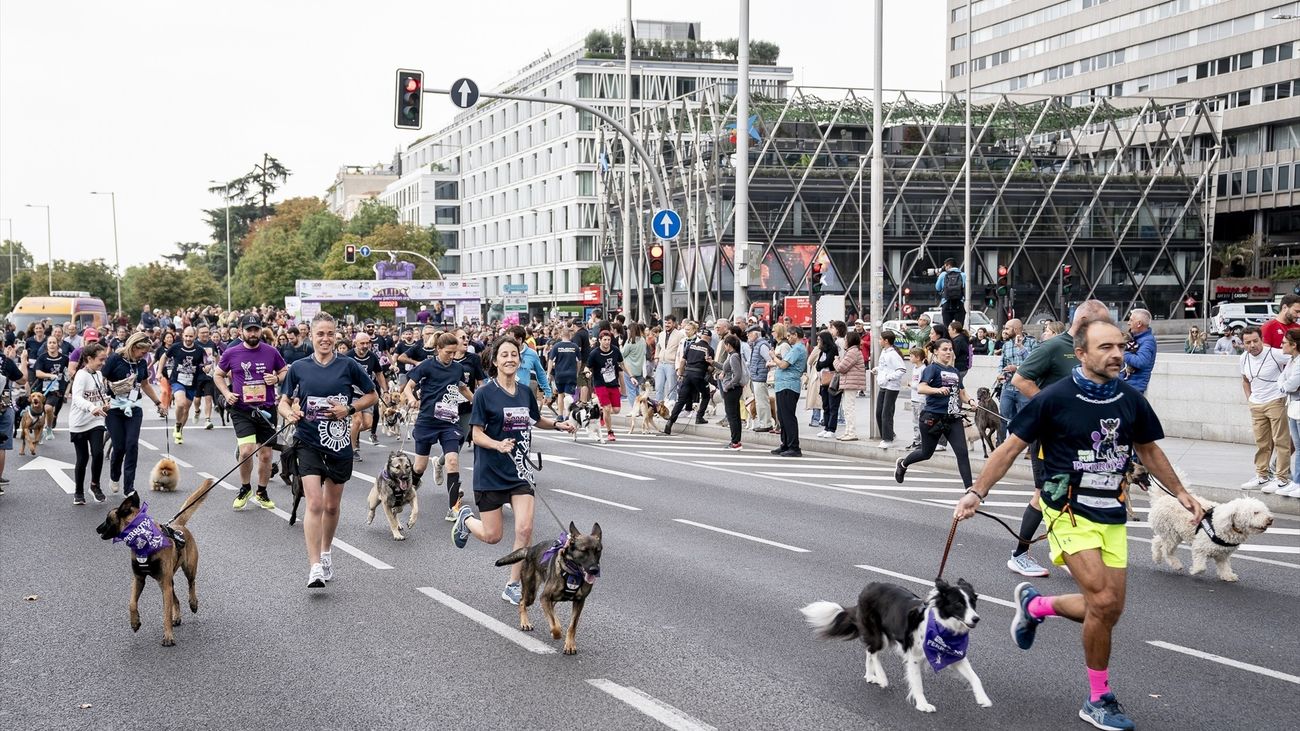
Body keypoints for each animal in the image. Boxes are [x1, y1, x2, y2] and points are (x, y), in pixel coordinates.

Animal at [94, 481, 214, 645]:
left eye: (107, 519)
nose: (96, 529)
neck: (142, 538)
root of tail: (179, 525)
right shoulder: (139, 579)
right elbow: (131, 603)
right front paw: (135, 622)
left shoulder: (163, 583)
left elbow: (165, 613)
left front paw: (168, 636)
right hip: (166, 582)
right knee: (176, 599)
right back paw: (177, 617)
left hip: (187, 570)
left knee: (191, 584)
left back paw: (193, 603)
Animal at [493, 517, 600, 655]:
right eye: (584, 551)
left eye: (598, 551)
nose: (595, 570)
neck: (572, 572)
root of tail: (530, 549)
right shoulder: (544, 597)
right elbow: (555, 626)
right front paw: (556, 633)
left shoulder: (579, 602)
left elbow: (572, 626)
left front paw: (570, 644)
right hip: (531, 593)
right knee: (522, 602)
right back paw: (525, 623)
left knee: (551, 610)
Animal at [795, 574, 987, 712]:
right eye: (958, 604)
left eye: (973, 603)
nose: (976, 619)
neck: (943, 626)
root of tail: (868, 587)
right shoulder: (914, 656)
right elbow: (917, 683)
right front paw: (923, 705)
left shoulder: (954, 654)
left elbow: (975, 676)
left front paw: (983, 698)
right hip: (879, 635)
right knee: (873, 651)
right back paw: (881, 678)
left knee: (869, 651)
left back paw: (870, 675)